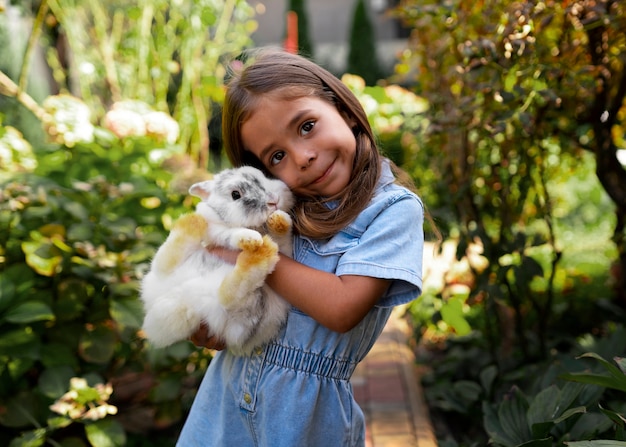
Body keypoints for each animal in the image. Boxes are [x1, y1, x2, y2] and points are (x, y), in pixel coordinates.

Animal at [141, 166, 294, 356]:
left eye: (264, 177)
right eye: (235, 194)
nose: (274, 201)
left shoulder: (286, 247)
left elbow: (283, 234)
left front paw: (279, 219)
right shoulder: (216, 231)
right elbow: (230, 234)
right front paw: (250, 239)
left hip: (244, 313)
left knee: (227, 294)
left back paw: (260, 252)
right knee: (164, 262)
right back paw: (194, 221)